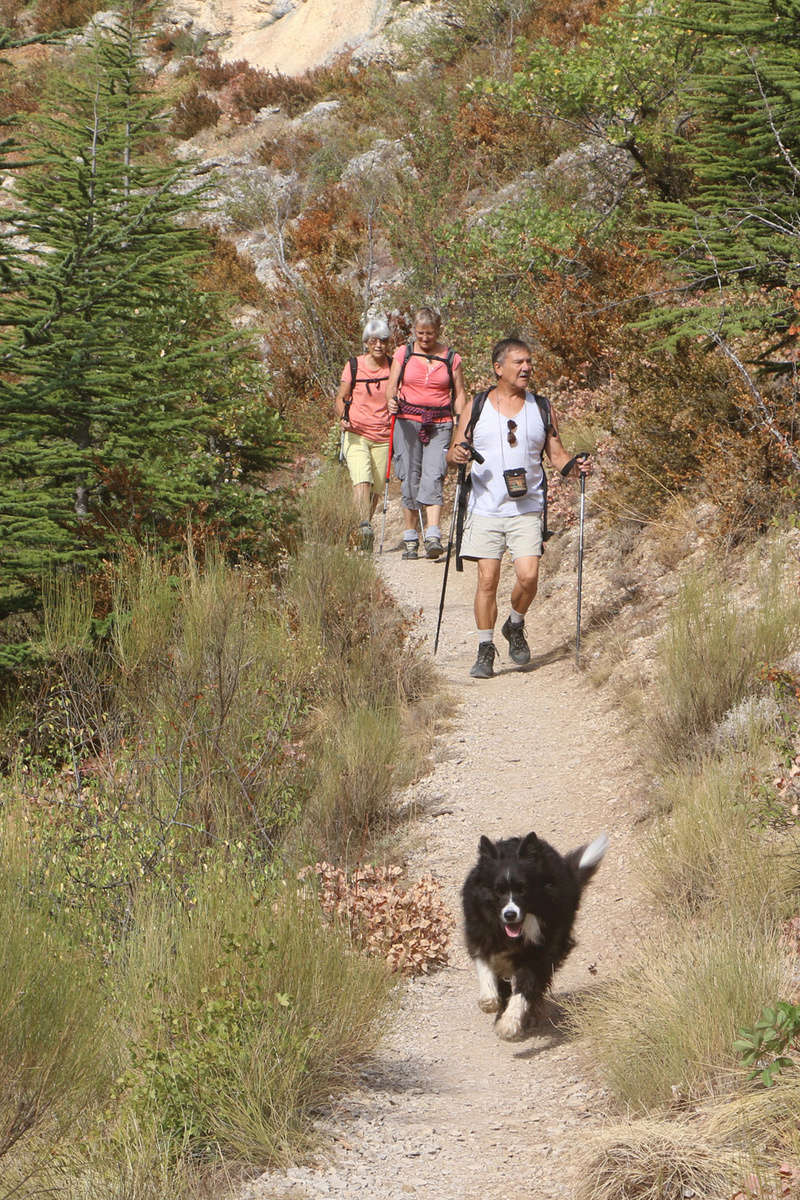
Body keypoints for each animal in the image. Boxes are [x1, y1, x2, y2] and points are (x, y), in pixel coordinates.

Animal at [462, 830, 606, 1036]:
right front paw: (490, 1001)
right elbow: (485, 965)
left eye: (523, 889)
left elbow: (527, 985)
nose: (510, 915)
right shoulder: (480, 932)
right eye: (498, 891)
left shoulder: (540, 951)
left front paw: (509, 1023)